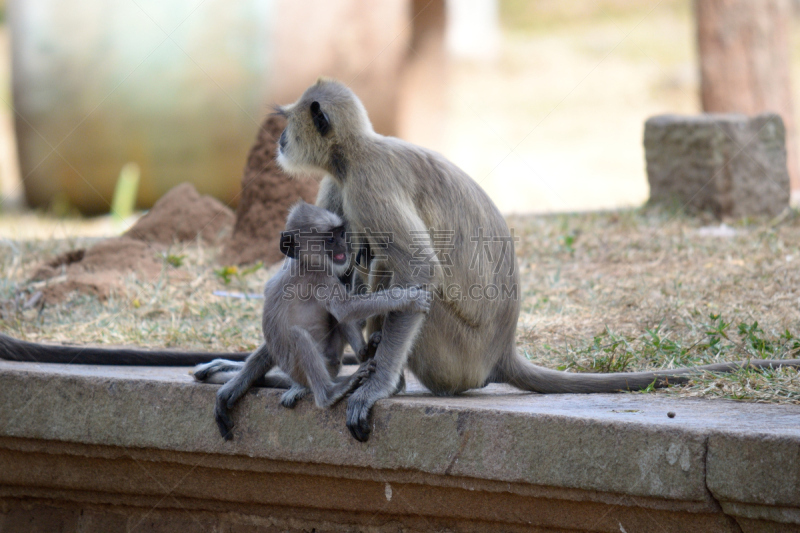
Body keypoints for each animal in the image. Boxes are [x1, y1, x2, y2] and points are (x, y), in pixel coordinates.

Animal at [192, 202, 432, 438]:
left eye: (341, 233)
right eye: (330, 239)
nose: (344, 247)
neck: (304, 263)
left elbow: (342, 312)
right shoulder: (320, 277)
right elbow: (345, 309)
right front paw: (409, 299)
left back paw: (365, 352)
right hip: (305, 366)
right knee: (300, 334)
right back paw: (330, 392)